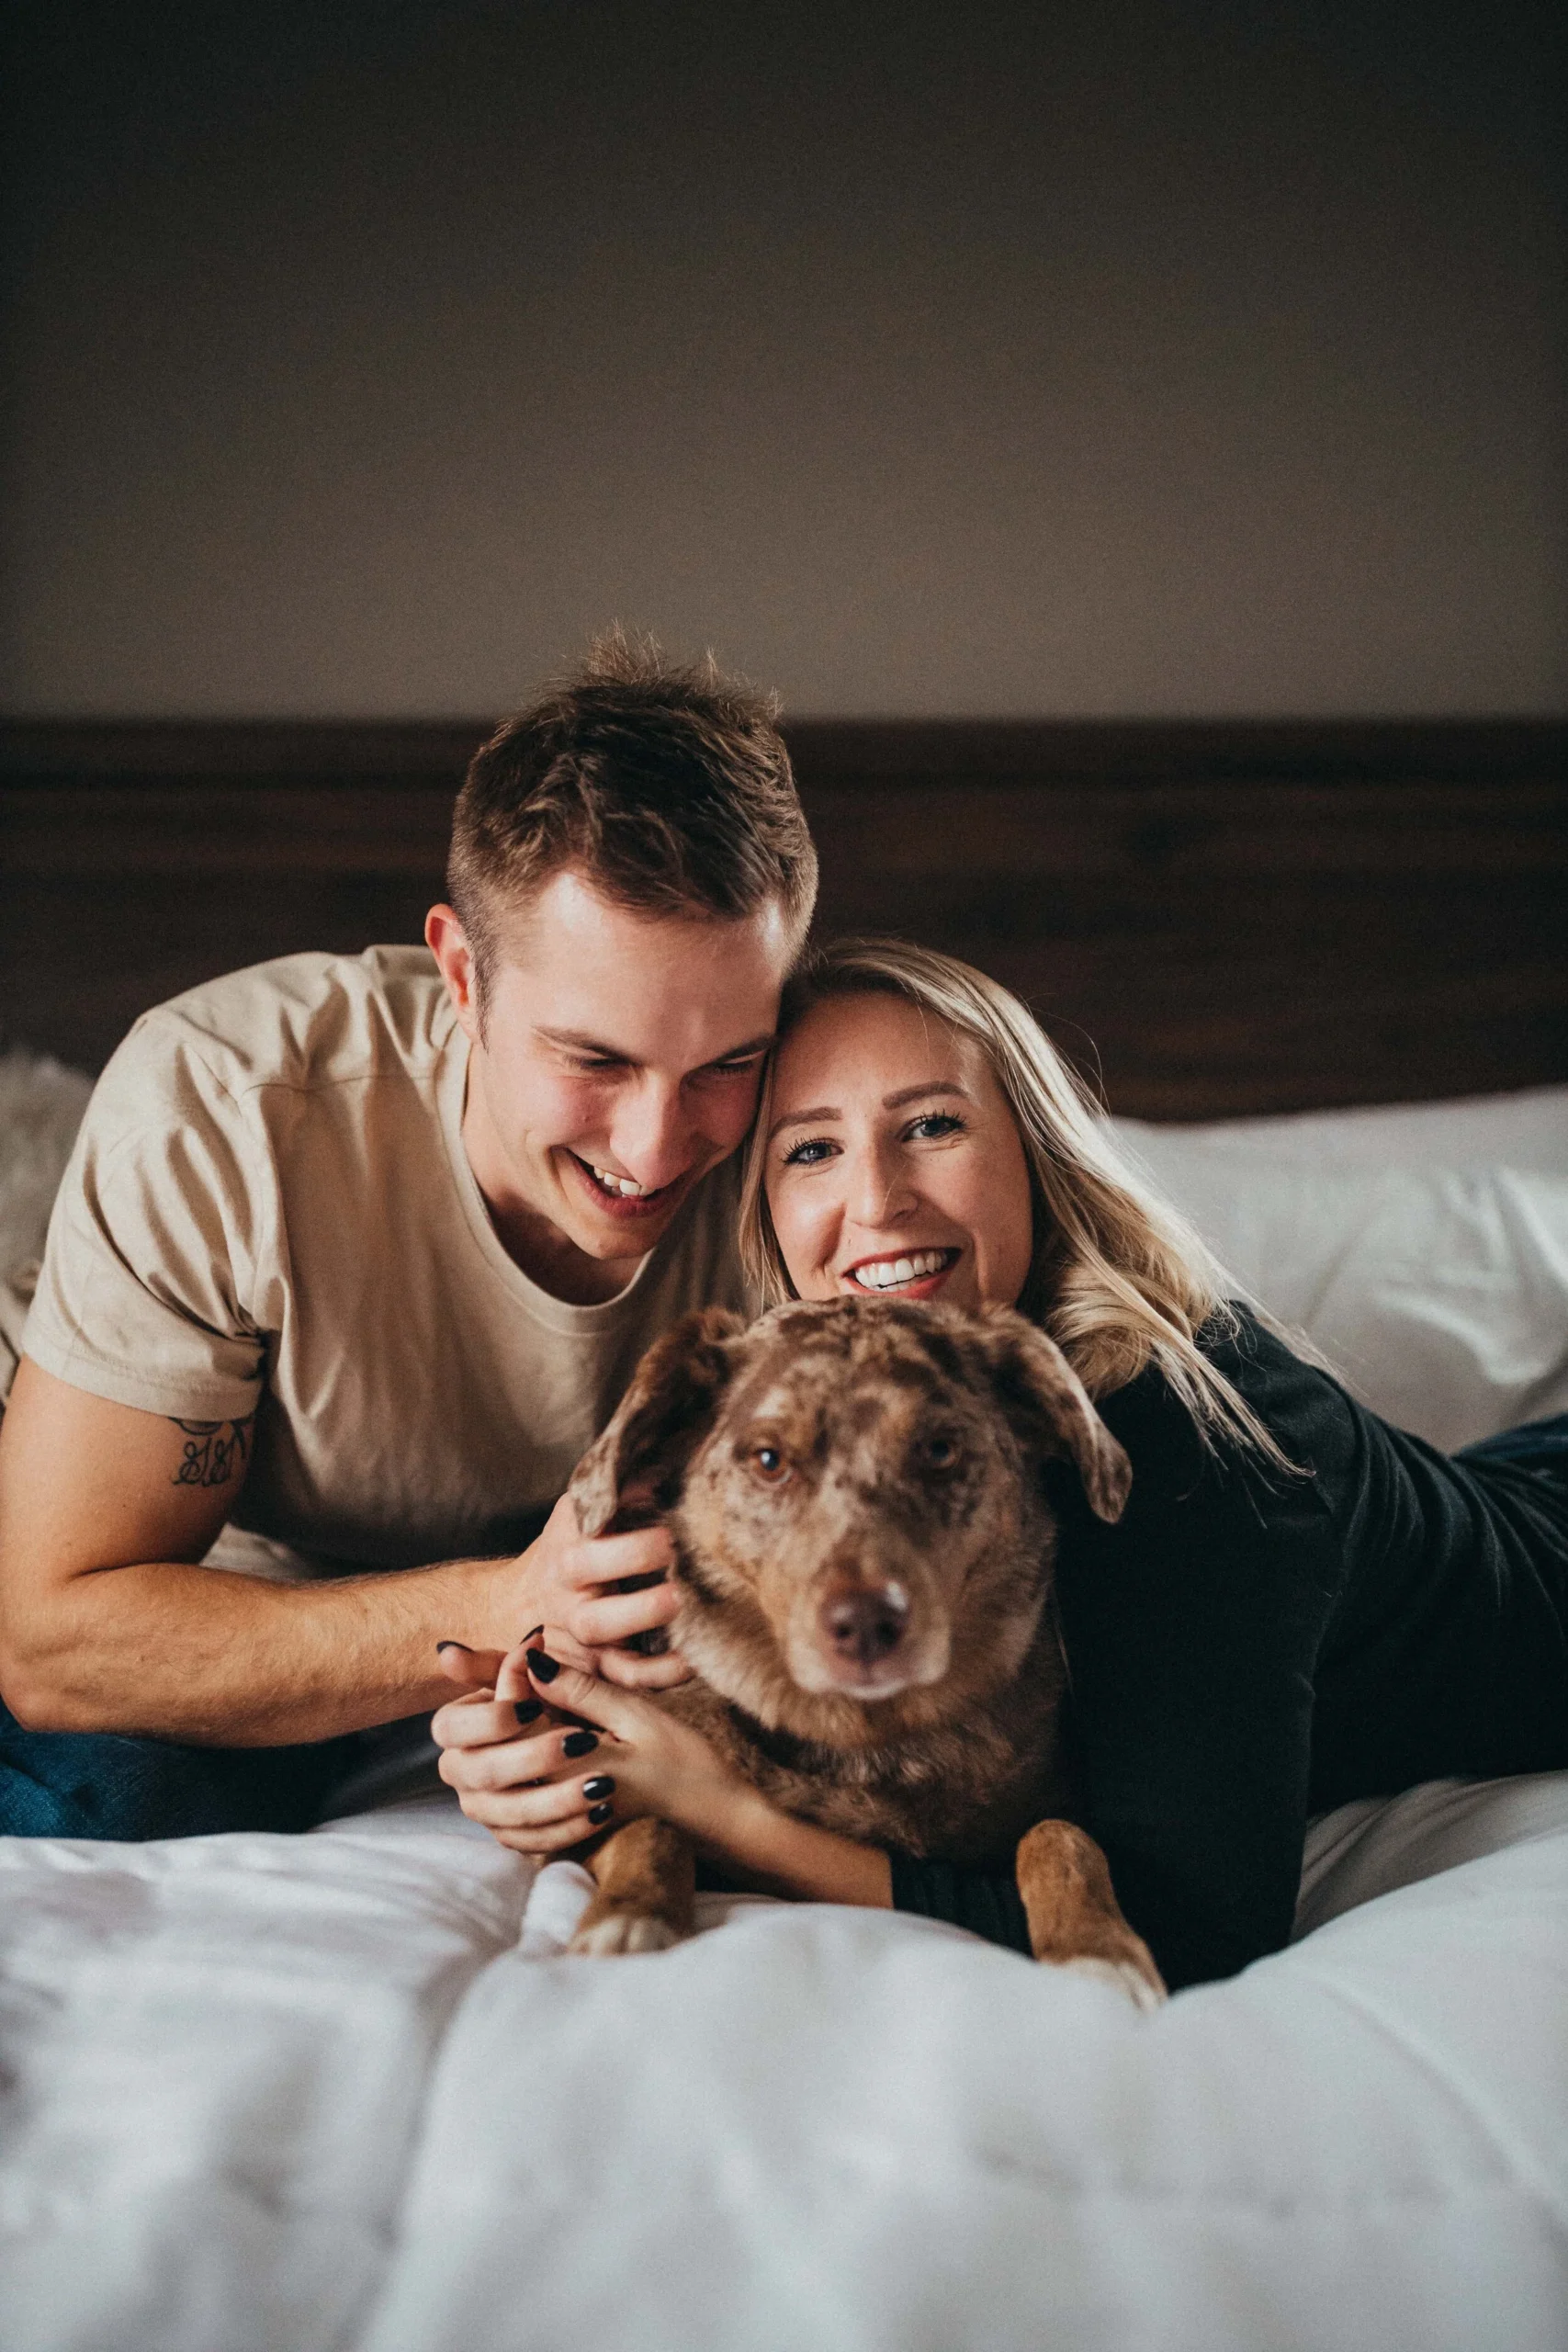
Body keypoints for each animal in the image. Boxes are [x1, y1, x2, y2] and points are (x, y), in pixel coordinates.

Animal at [563, 1294, 1165, 2005]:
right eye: (768, 1459)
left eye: (939, 1450)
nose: (867, 1625)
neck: (870, 1737)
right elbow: (649, 1824)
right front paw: (629, 1916)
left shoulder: (1057, 1811)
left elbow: (1060, 1838)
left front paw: (1097, 1951)